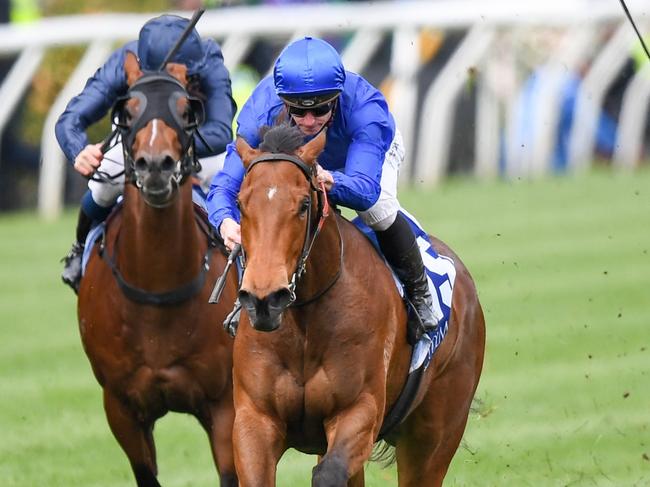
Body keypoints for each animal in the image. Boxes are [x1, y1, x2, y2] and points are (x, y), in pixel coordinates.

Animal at [76, 50, 238, 487]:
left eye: (185, 111)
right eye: (127, 111)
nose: (154, 165)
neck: (158, 289)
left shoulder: (225, 403)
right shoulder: (120, 407)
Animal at [230, 124, 484, 486]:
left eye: (304, 204)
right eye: (241, 203)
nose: (264, 300)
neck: (305, 323)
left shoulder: (359, 410)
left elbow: (328, 473)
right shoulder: (255, 419)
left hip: (435, 431)